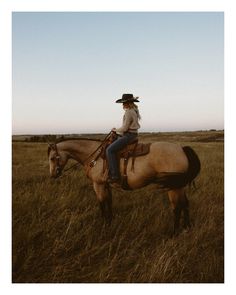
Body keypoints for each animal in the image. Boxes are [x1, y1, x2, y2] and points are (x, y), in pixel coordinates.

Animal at [48, 134, 201, 236]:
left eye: (52, 158)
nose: (53, 175)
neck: (94, 156)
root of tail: (181, 148)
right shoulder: (106, 184)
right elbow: (109, 202)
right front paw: (110, 221)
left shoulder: (98, 184)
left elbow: (101, 203)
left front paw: (104, 223)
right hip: (179, 186)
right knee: (185, 204)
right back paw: (187, 227)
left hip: (174, 187)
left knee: (177, 207)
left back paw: (174, 232)